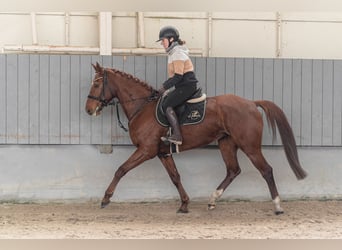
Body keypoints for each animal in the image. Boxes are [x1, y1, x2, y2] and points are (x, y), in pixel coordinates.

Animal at [85, 62, 308, 215]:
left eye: (96, 84)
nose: (88, 110)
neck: (143, 106)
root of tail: (252, 103)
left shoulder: (146, 150)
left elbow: (121, 169)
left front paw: (105, 198)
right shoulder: (162, 153)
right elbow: (175, 177)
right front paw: (184, 204)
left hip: (250, 146)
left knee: (266, 170)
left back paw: (277, 206)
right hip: (226, 143)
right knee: (233, 170)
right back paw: (212, 200)